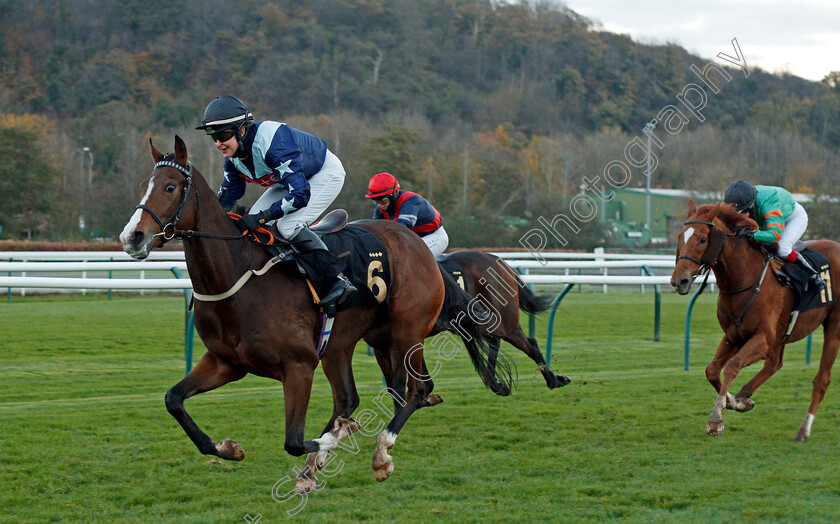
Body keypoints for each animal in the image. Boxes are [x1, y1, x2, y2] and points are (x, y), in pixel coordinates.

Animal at [120, 136, 512, 492]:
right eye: (141, 187)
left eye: (170, 186)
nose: (131, 237)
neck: (237, 277)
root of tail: (419, 246)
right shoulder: (226, 362)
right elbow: (173, 400)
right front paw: (228, 448)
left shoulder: (298, 365)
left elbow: (293, 440)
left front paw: (336, 439)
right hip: (348, 343)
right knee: (352, 397)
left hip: (406, 332)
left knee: (417, 389)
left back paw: (380, 454)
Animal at [672, 201, 840, 442]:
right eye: (679, 237)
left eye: (703, 239)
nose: (679, 281)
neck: (743, 280)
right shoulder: (735, 335)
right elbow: (712, 370)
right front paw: (735, 402)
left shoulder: (763, 338)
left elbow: (732, 365)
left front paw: (716, 419)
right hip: (782, 334)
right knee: (775, 363)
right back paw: (745, 394)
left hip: (833, 325)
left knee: (822, 379)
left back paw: (803, 430)